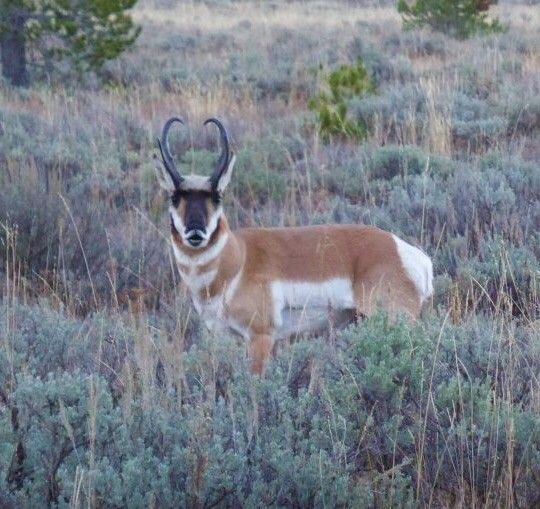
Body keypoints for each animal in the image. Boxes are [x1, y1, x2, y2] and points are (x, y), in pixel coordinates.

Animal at [154, 118, 432, 374]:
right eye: (174, 196)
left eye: (217, 196)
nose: (195, 232)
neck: (238, 259)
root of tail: (409, 253)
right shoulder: (225, 337)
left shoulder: (261, 338)